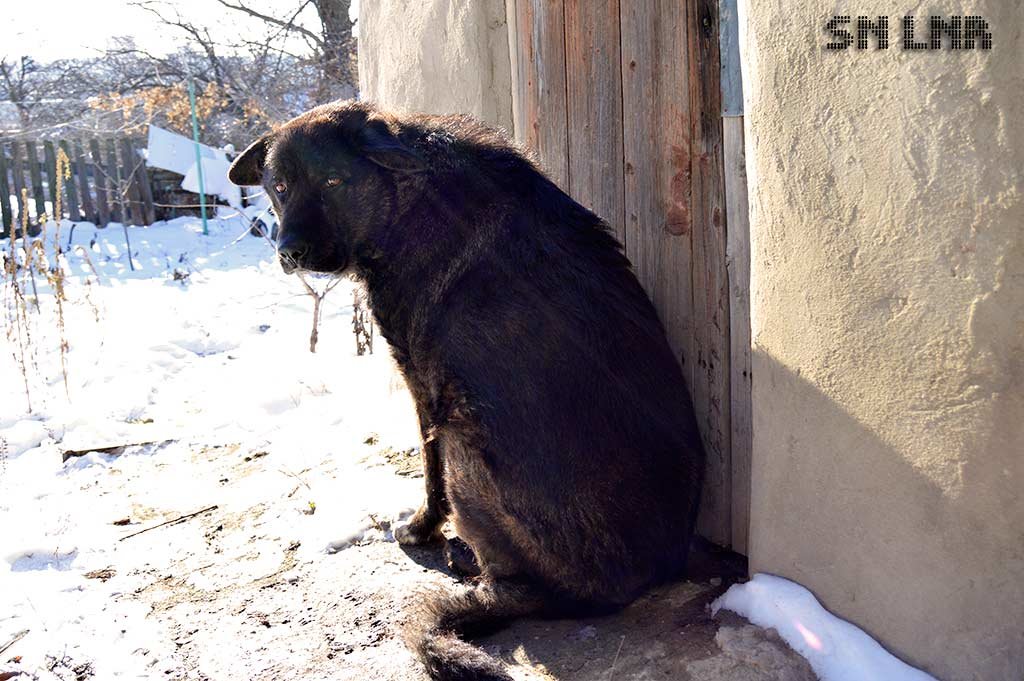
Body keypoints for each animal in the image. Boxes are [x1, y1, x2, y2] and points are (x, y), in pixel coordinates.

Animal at [230, 100, 704, 679]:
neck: (405, 198)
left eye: (333, 180)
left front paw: (419, 528)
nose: (289, 251)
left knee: (510, 584)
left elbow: (427, 470)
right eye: (278, 187)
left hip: (465, 437)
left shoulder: (422, 383)